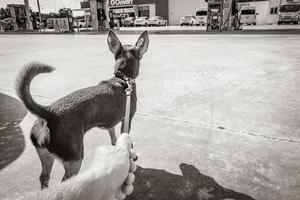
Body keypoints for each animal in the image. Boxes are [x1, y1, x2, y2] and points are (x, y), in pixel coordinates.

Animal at [15, 30, 149, 188]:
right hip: (75, 158)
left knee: (44, 178)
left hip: (46, 155)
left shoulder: (110, 124)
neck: (123, 77)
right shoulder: (126, 120)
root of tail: (49, 112)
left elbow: (114, 138)